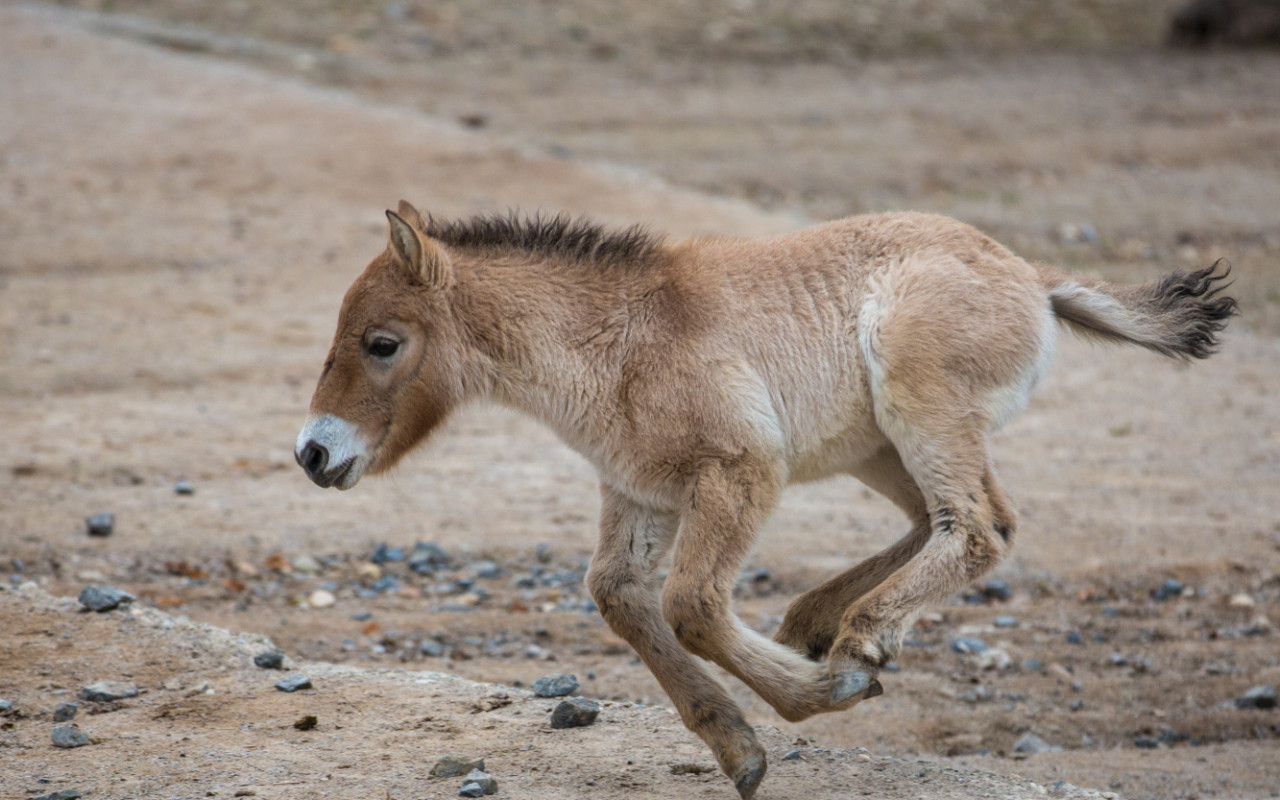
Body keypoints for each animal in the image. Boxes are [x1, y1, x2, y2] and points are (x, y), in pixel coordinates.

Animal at [294, 200, 1233, 798]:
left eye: (383, 343)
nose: (313, 453)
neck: (616, 340)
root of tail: (1031, 276)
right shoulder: (639, 493)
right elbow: (624, 599)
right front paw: (739, 747)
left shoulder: (740, 472)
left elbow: (693, 606)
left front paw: (823, 695)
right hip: (879, 445)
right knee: (944, 519)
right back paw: (820, 621)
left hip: (920, 413)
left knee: (979, 527)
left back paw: (858, 639)